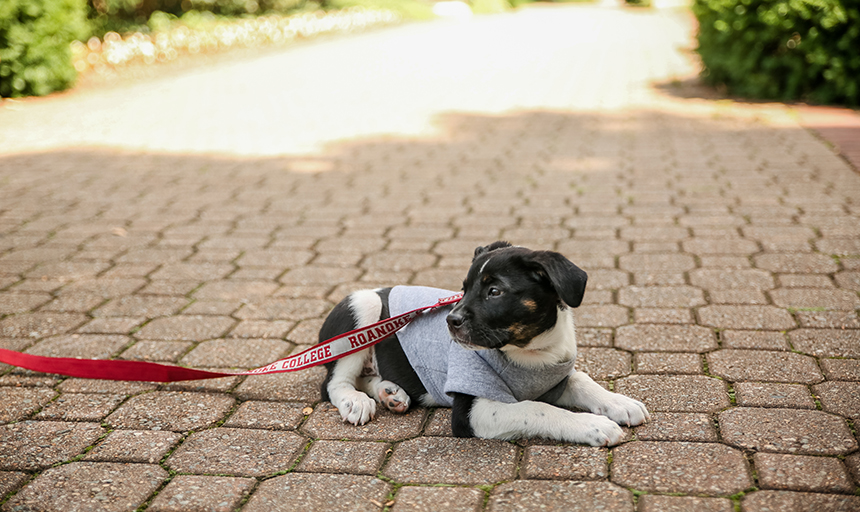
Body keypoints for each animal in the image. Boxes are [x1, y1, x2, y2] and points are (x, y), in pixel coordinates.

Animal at [320, 242, 648, 446]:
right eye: (464, 289)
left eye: (494, 291)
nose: (450, 320)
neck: (532, 352)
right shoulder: (471, 411)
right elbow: (537, 409)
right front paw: (593, 425)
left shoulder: (555, 378)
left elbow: (582, 380)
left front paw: (620, 403)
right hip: (362, 310)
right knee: (334, 384)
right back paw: (355, 401)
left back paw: (390, 393)